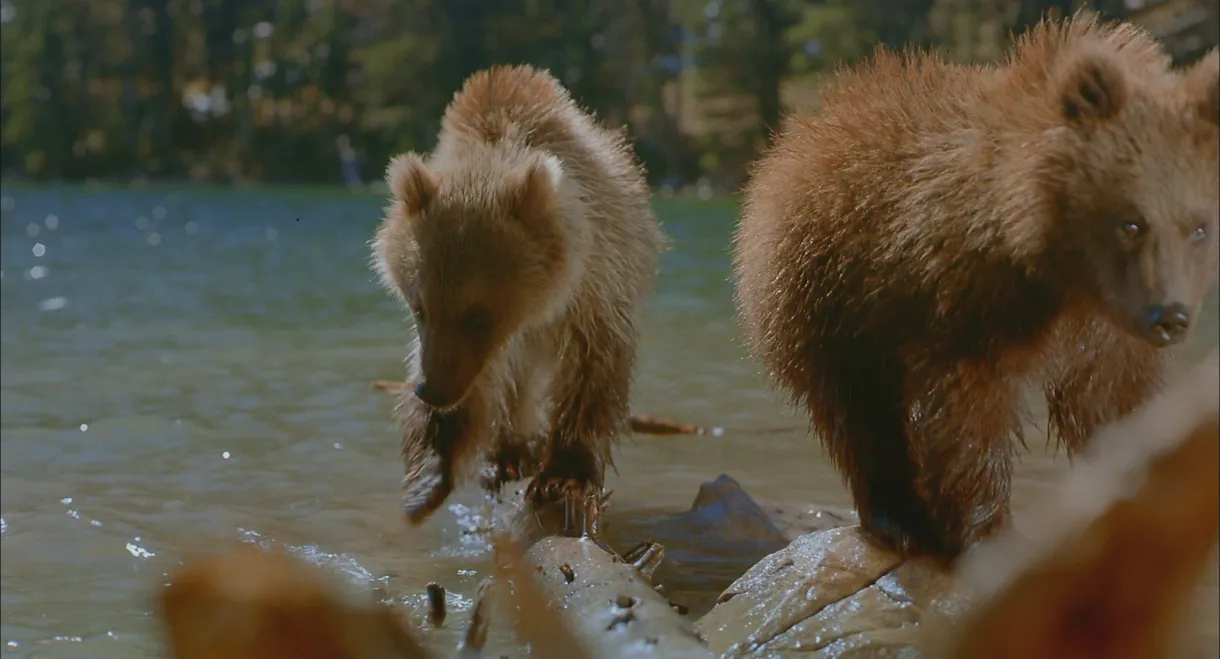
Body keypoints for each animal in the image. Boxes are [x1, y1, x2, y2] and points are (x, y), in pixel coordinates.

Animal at [371, 64, 667, 531]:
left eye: (477, 315)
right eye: (419, 308)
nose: (431, 390)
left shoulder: (596, 283)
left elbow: (592, 366)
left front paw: (564, 476)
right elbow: (476, 382)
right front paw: (427, 477)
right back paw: (507, 456)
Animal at [732, 15, 1219, 562]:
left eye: (1199, 228)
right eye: (1130, 223)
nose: (1170, 316)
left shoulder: (1105, 333)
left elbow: (1114, 398)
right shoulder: (960, 298)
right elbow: (967, 418)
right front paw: (988, 531)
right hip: (821, 289)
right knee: (858, 410)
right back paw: (898, 519)